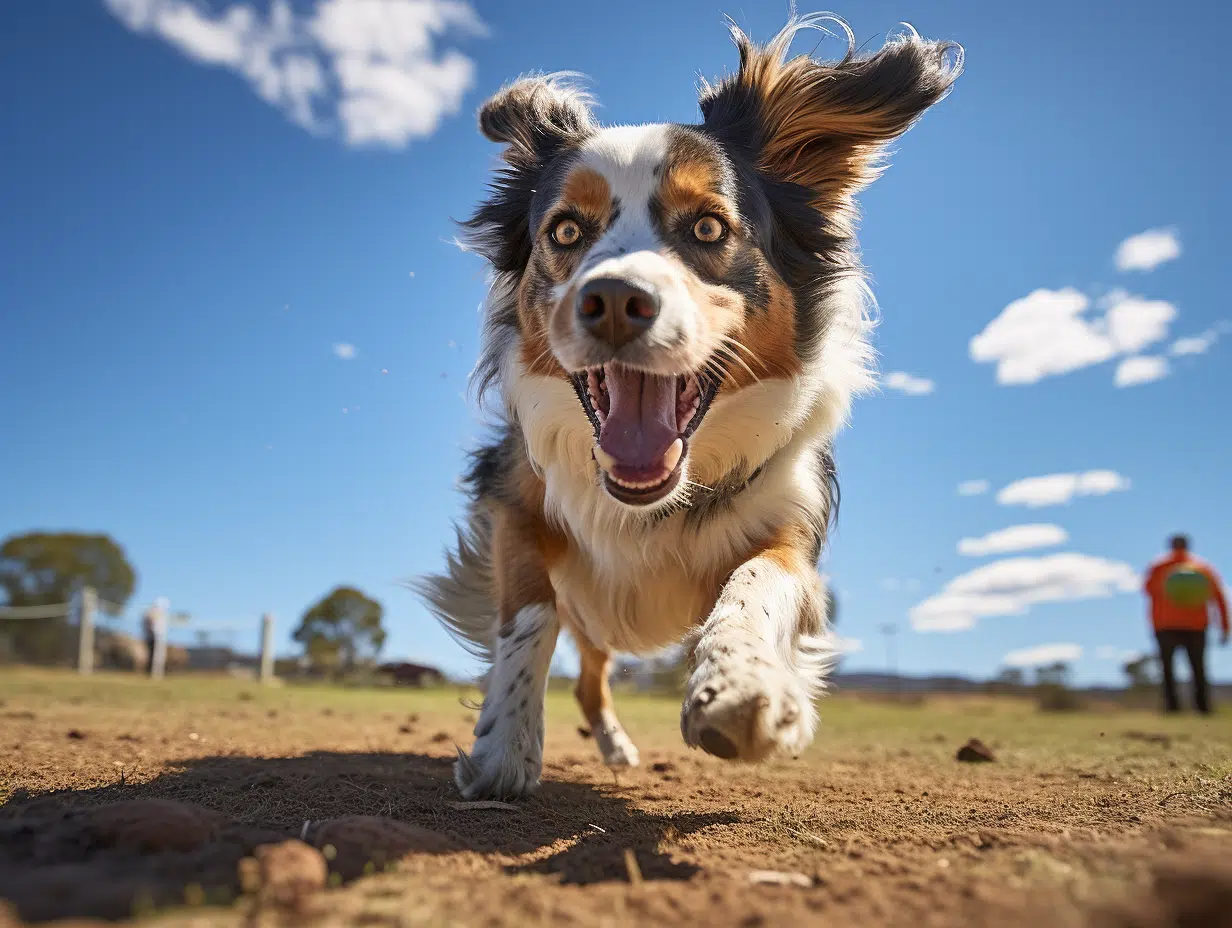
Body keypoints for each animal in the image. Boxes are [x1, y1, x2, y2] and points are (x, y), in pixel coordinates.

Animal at [418, 12, 965, 798]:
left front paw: (741, 688)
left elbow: (756, 580)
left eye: (708, 227)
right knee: (586, 669)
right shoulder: (512, 501)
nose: (615, 301)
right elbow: (529, 612)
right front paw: (505, 748)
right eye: (565, 230)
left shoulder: (791, 524)